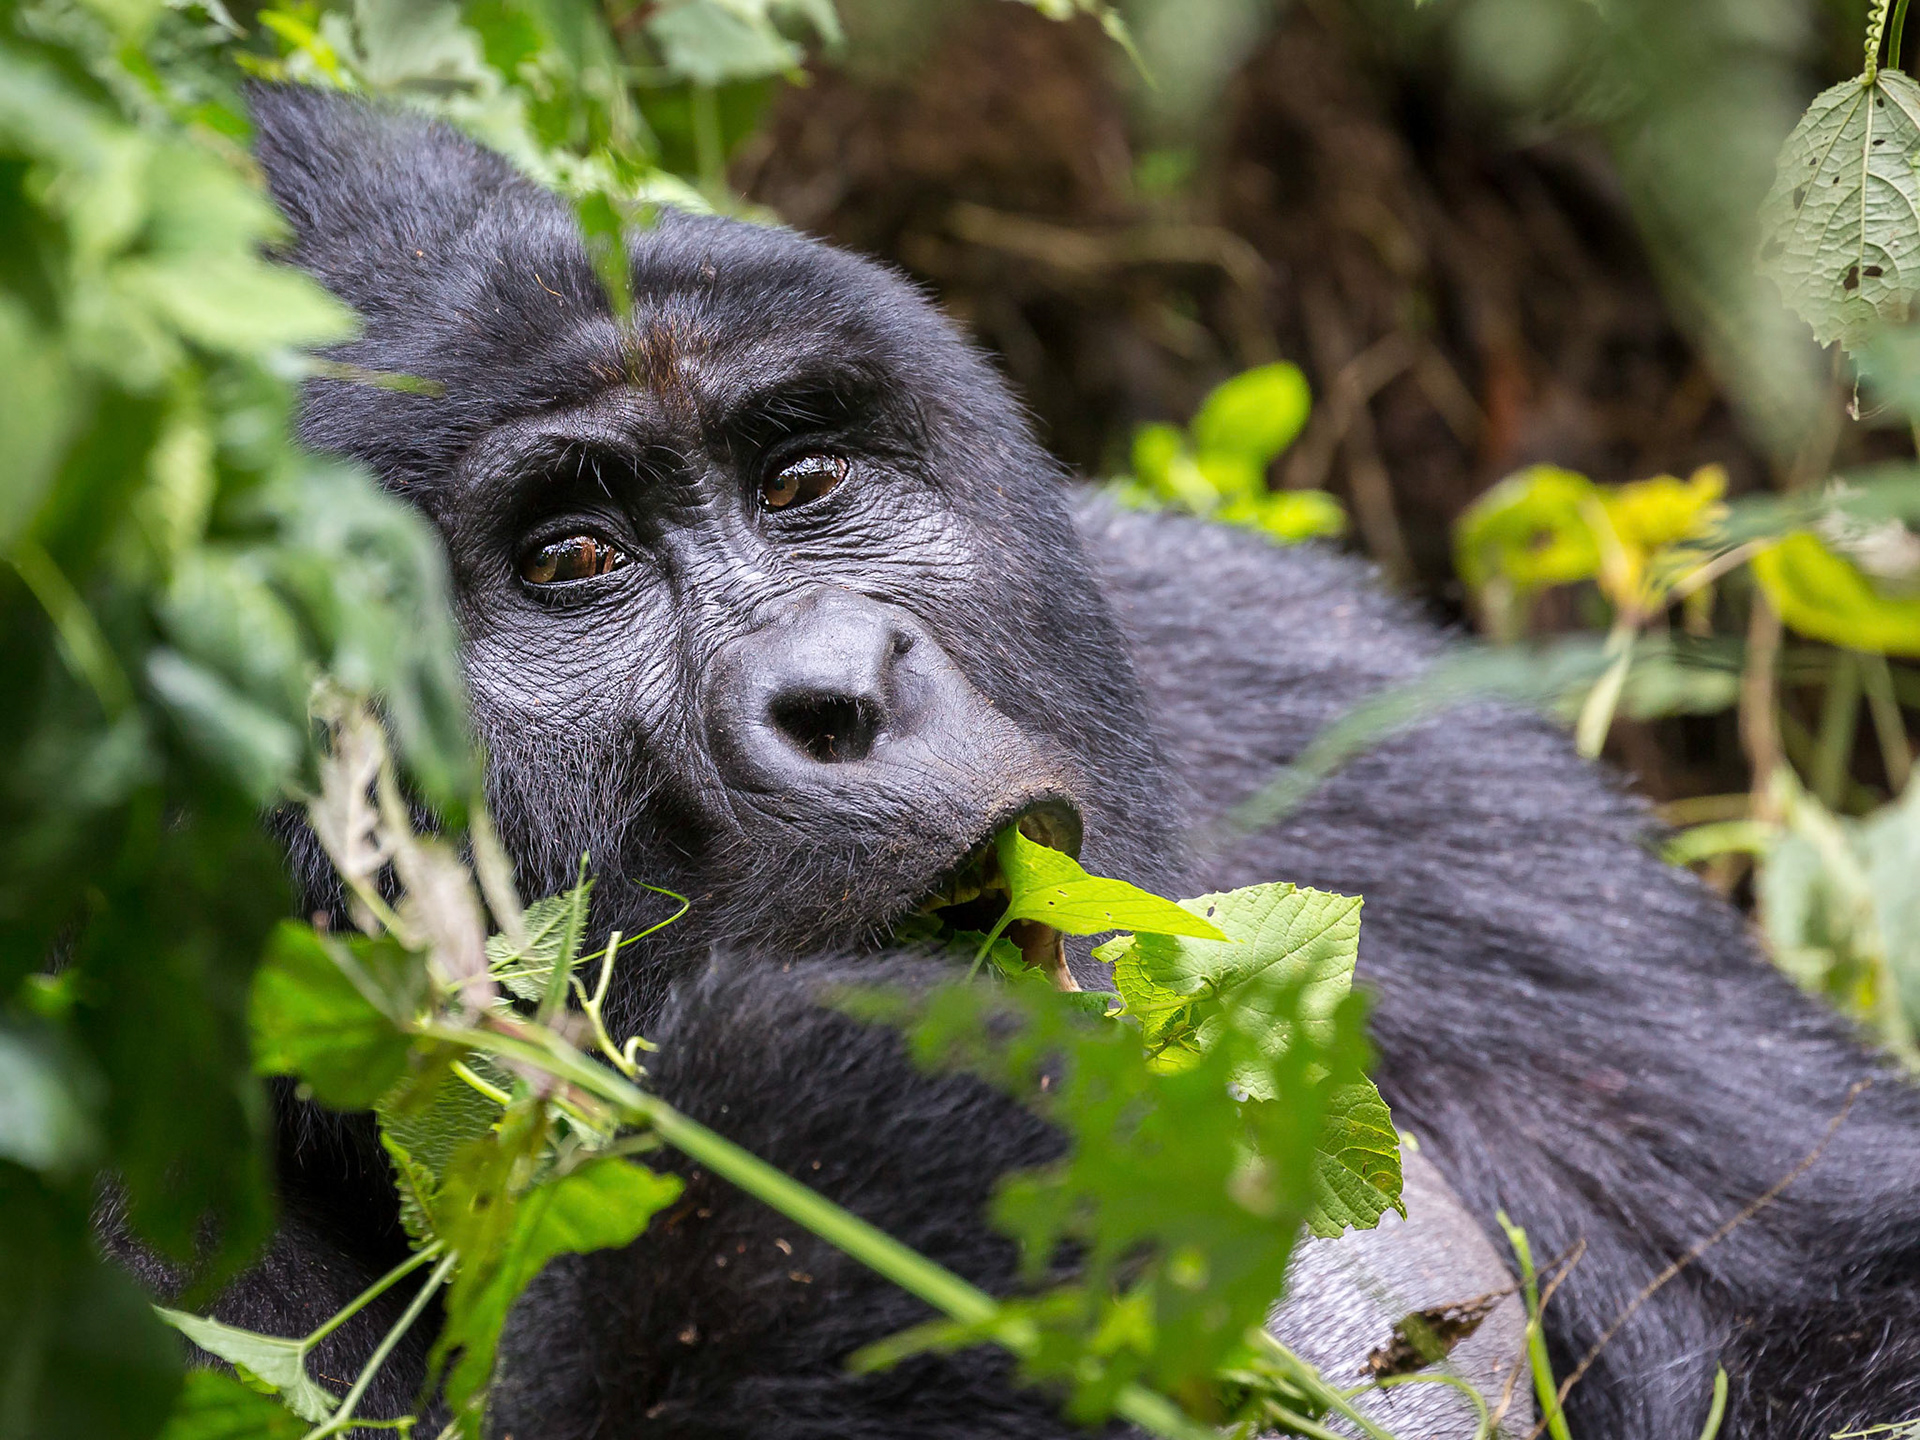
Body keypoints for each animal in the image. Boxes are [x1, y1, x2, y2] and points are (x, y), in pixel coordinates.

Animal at [134, 83, 1920, 1440]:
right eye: (571, 561)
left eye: (801, 479)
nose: (840, 691)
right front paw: (837, 1148)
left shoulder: (1312, 692)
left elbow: (1850, 1293)